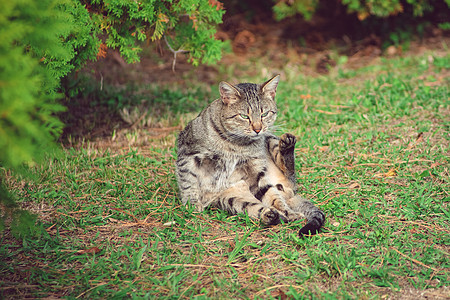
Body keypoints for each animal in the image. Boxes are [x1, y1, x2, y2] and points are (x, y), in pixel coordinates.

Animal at [174, 75, 326, 237]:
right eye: (244, 116)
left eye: (264, 114)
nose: (258, 129)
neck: (235, 144)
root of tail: (289, 193)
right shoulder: (187, 155)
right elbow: (188, 182)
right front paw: (192, 204)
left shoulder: (255, 173)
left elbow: (272, 197)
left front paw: (289, 213)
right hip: (231, 200)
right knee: (255, 206)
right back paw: (269, 215)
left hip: (270, 141)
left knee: (285, 178)